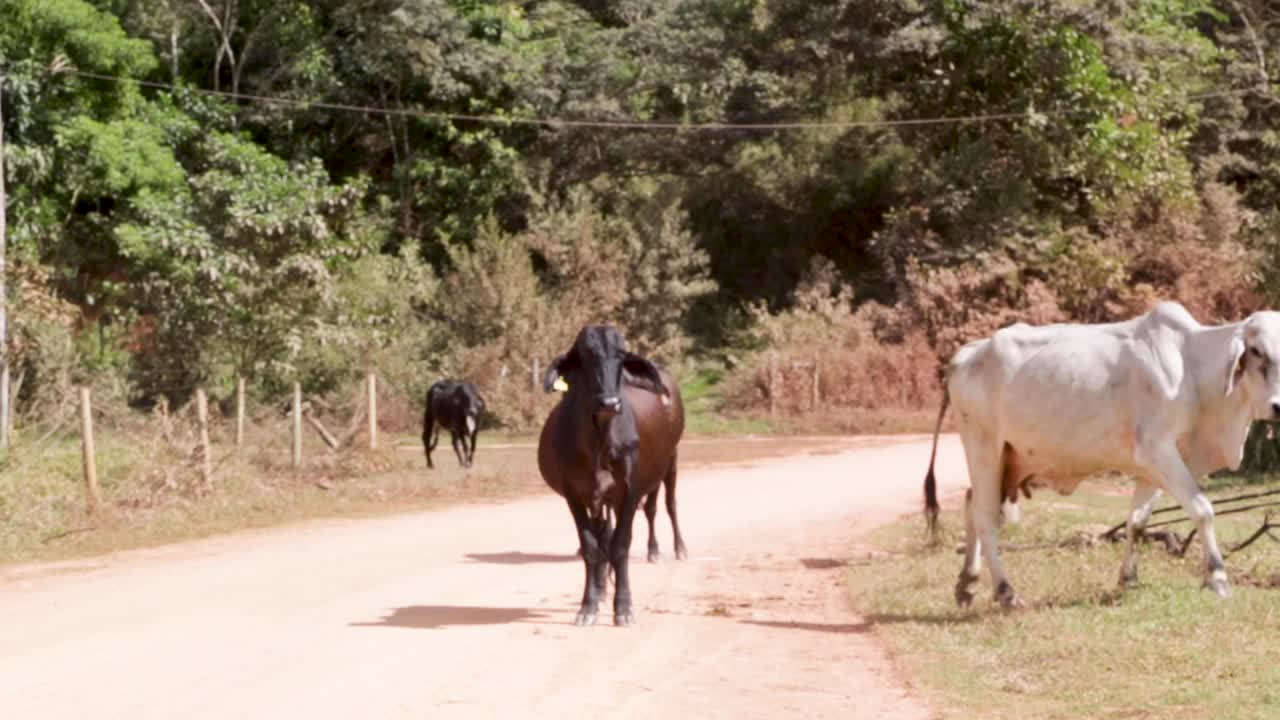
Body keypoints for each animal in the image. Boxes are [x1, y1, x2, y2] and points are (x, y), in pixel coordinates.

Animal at [537, 325, 685, 626]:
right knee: (604, 535)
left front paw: (624, 607)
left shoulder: (629, 491)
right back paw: (603, 587)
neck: (599, 441)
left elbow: (620, 545)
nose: (609, 402)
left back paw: (675, 549)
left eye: (620, 355)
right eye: (585, 356)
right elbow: (592, 547)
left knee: (667, 506)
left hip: (670, 463)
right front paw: (589, 605)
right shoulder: (575, 495)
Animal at [922, 302, 1280, 609]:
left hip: (1005, 461)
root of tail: (964, 355)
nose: (1277, 406)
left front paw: (1128, 579)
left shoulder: (1154, 465)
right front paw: (1217, 578)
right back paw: (1005, 592)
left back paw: (967, 583)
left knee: (971, 503)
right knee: (985, 517)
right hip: (983, 447)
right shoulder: (1158, 450)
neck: (1191, 369)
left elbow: (1137, 521)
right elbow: (1203, 510)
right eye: (1257, 351)